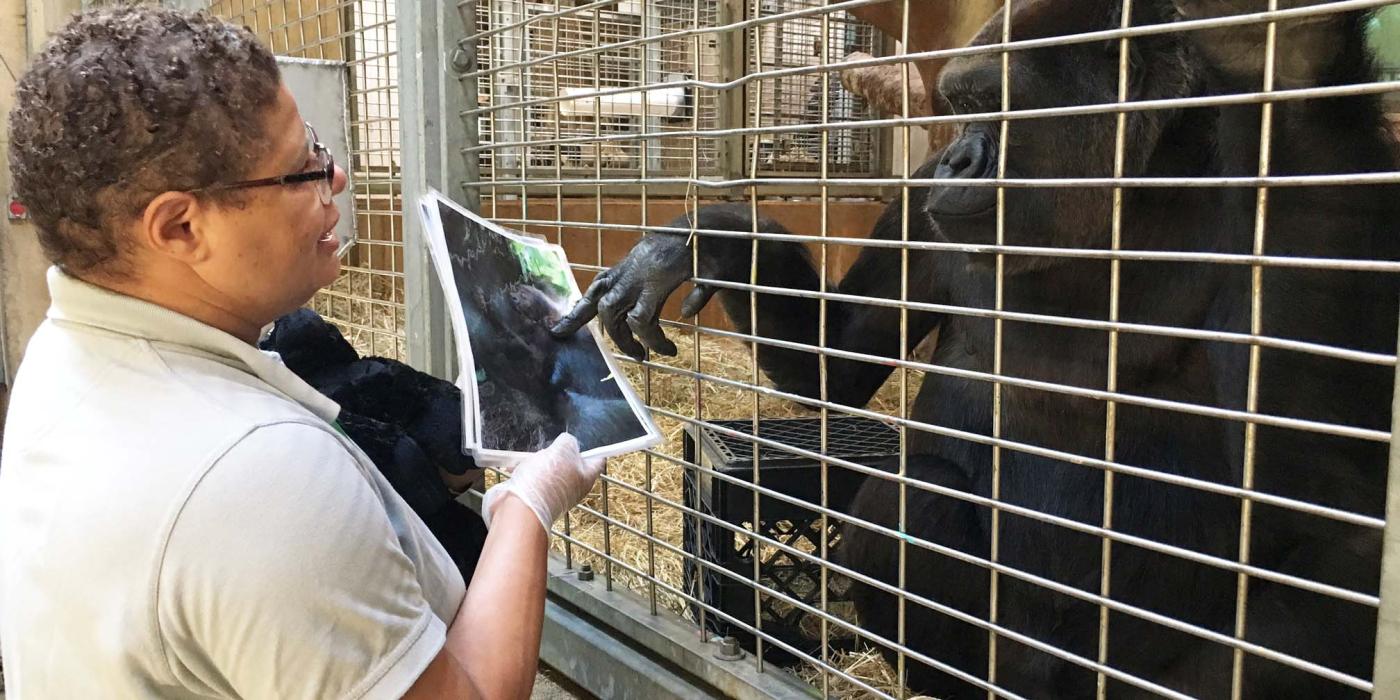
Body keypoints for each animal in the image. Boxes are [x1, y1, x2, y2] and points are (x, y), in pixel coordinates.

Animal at [551, 2, 1400, 697]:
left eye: (994, 105)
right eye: (960, 109)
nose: (961, 156)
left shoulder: (1300, 214)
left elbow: (1322, 499)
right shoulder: (925, 199)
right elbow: (840, 357)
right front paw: (697, 243)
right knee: (909, 501)